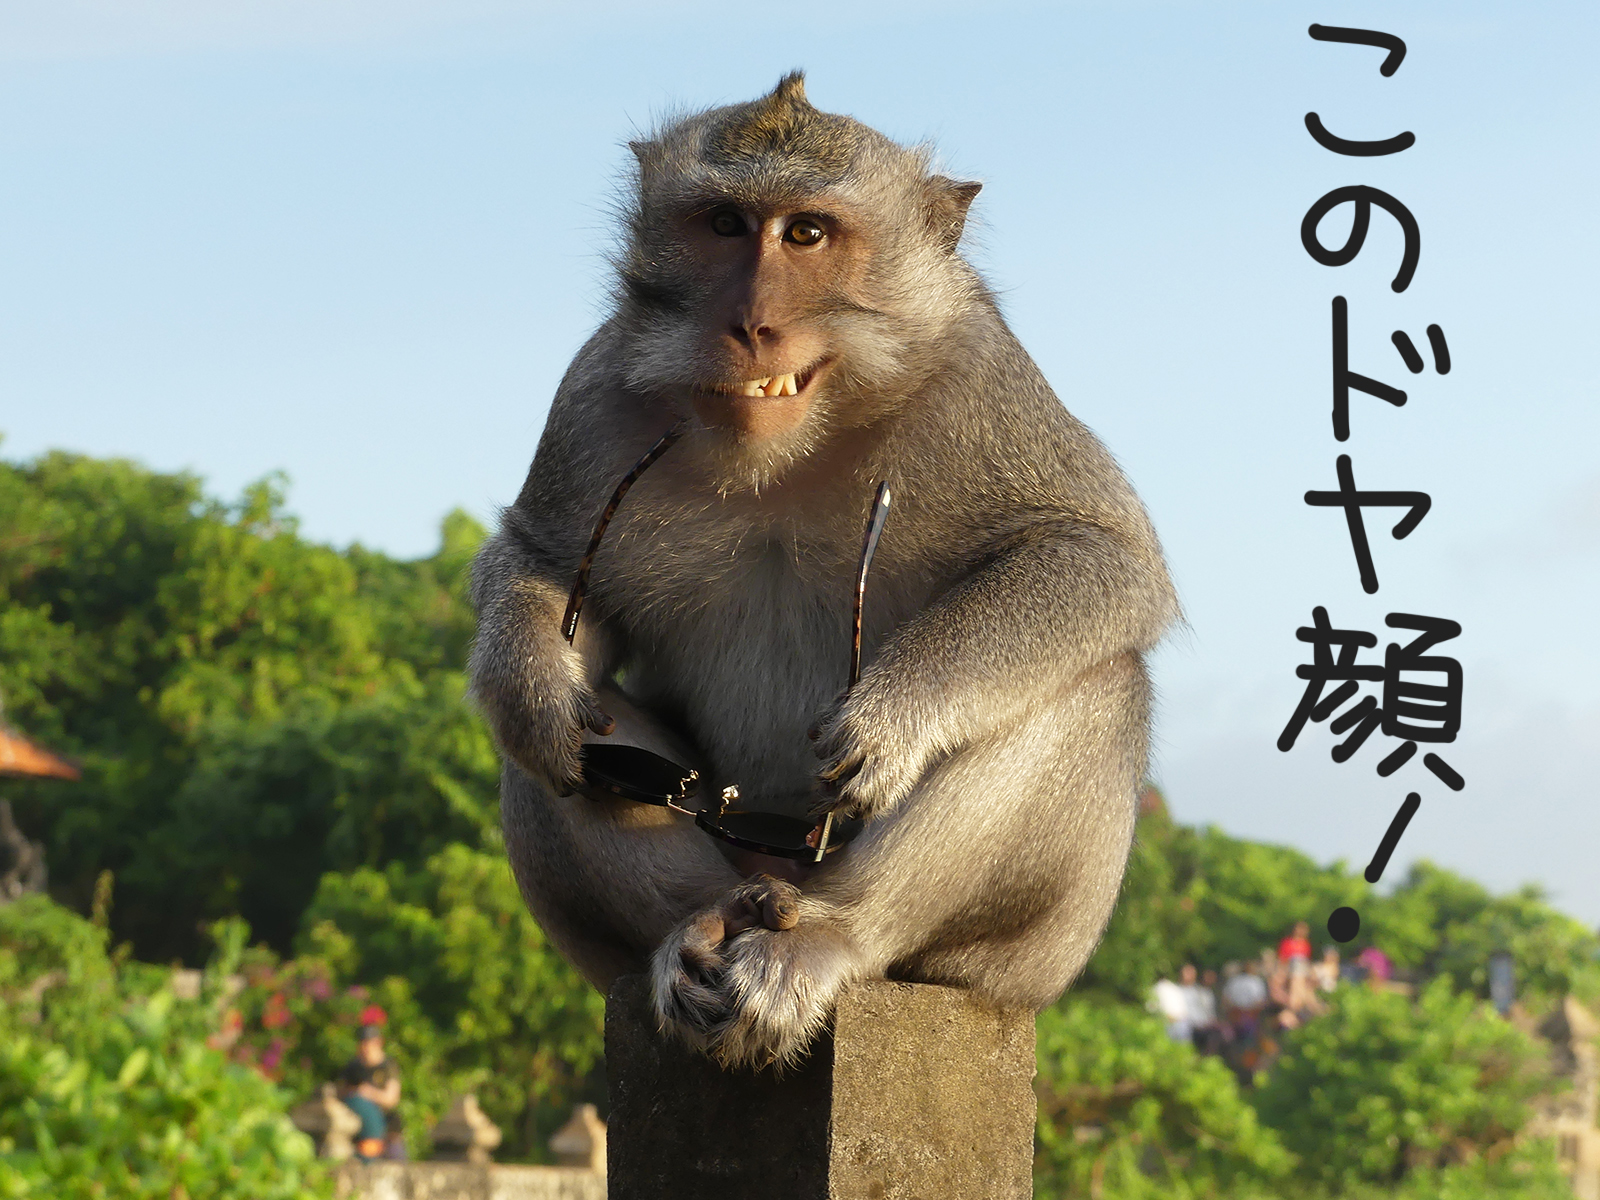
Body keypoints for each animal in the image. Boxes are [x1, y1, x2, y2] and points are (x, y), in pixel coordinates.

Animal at [468, 72, 1179, 1069]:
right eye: (725, 224)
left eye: (806, 234)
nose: (751, 323)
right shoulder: (594, 393)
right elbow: (550, 568)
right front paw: (529, 678)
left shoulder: (985, 383)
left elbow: (1097, 553)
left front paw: (895, 716)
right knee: (562, 752)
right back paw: (690, 930)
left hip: (1027, 957)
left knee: (1096, 683)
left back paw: (830, 936)